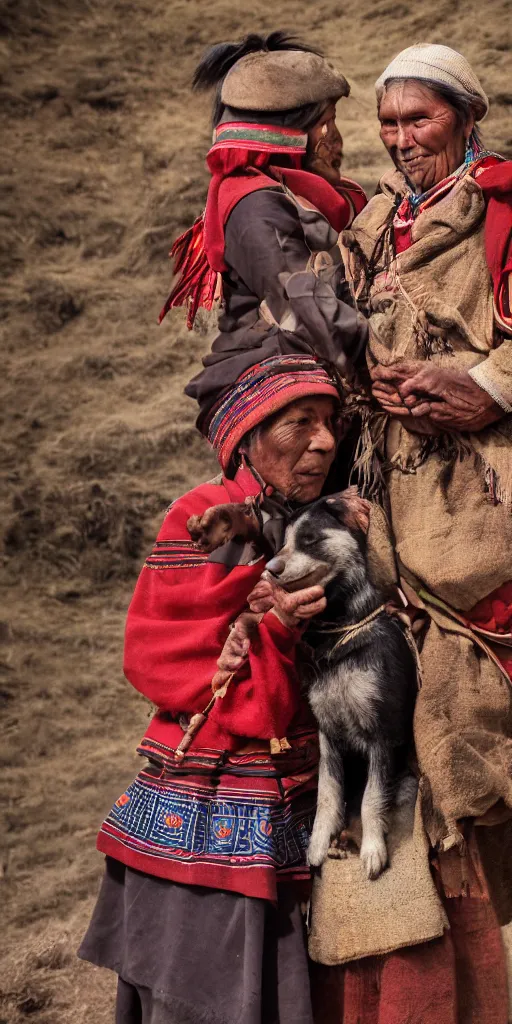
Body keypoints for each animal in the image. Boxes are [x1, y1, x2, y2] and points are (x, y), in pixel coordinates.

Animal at [264, 491, 415, 876]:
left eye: (310, 539)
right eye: (282, 543)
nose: (269, 569)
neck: (341, 636)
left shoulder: (381, 734)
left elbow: (372, 799)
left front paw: (373, 849)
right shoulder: (327, 734)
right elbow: (327, 794)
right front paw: (318, 844)